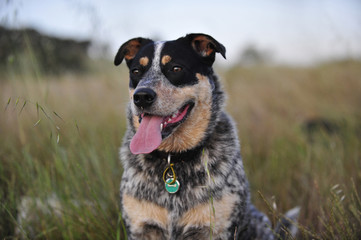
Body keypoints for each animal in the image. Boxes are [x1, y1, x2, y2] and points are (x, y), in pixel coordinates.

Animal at [113, 32, 298, 239]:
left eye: (176, 68)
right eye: (136, 71)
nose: (142, 96)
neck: (173, 159)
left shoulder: (215, 228)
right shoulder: (140, 228)